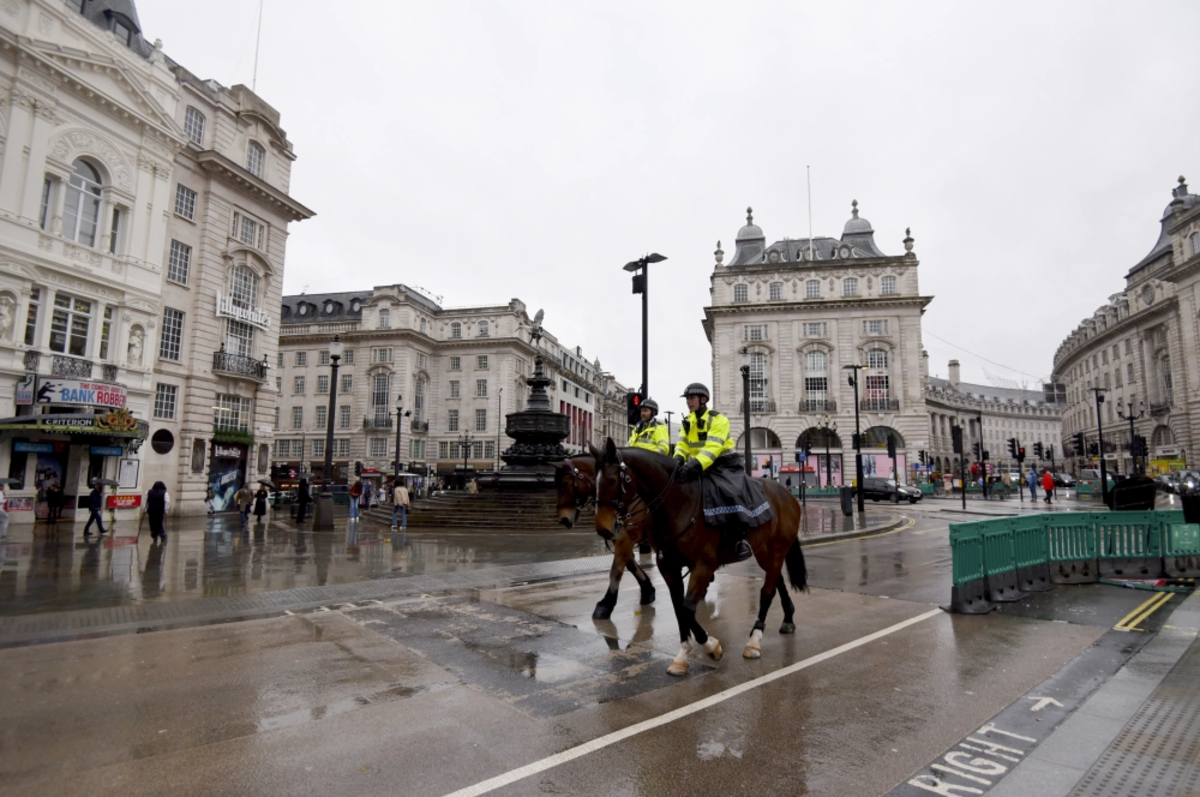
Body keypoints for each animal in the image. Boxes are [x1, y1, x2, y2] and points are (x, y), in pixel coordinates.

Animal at [552, 451, 657, 619]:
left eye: (564, 484)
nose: (563, 519)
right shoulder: (618, 537)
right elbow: (629, 563)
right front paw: (647, 590)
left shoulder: (627, 537)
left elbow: (616, 569)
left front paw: (605, 604)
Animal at [590, 439, 806, 676]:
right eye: (594, 481)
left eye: (612, 480)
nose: (602, 528)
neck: (679, 502)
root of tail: (787, 494)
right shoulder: (668, 566)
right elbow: (679, 609)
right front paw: (682, 656)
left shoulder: (703, 566)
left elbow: (687, 609)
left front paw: (712, 647)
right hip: (763, 551)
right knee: (777, 581)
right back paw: (788, 619)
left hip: (776, 549)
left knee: (767, 592)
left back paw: (754, 642)